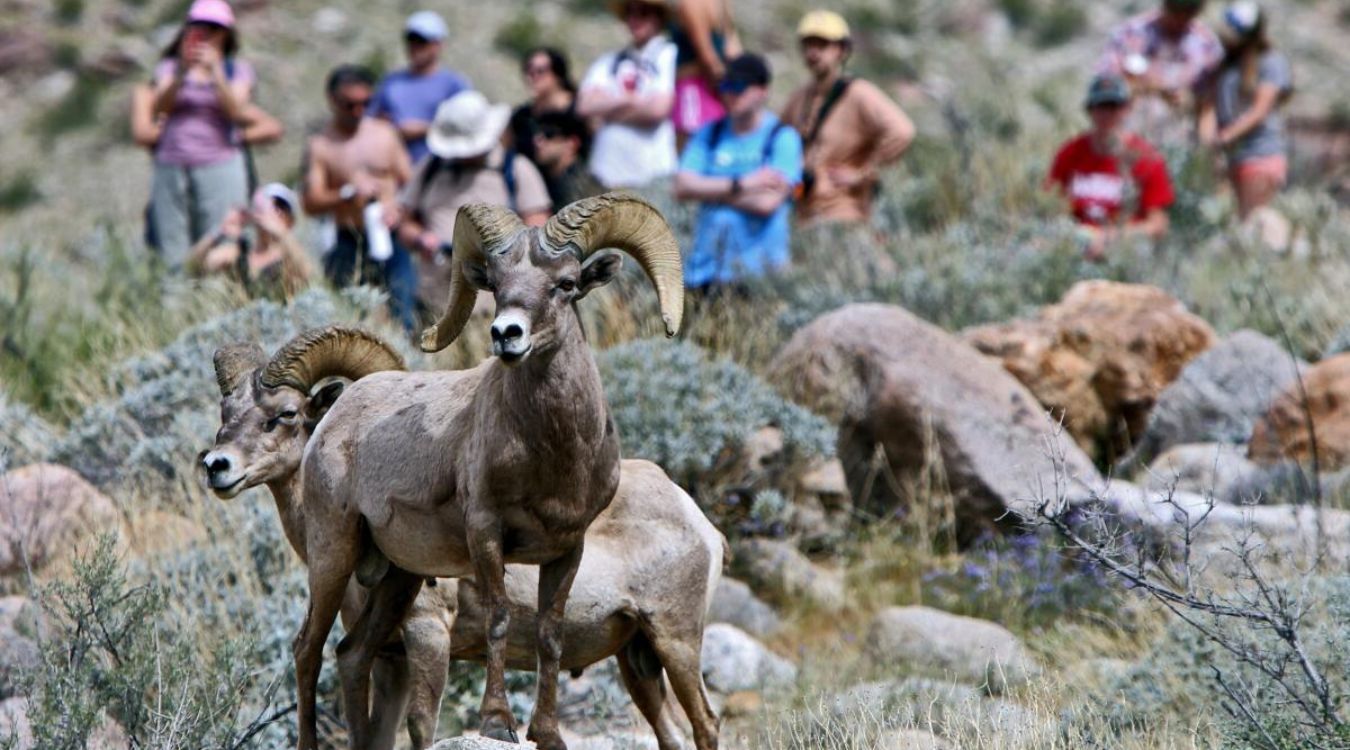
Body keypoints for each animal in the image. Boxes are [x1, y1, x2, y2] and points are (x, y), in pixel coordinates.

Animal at [203, 327, 723, 750]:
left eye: (286, 414)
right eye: (226, 412)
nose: (215, 466)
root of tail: (700, 523)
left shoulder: (428, 636)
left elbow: (420, 725)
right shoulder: (391, 661)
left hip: (675, 640)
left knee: (706, 723)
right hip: (637, 662)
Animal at [275, 194, 685, 750]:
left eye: (566, 283)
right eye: (495, 283)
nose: (505, 335)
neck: (552, 457)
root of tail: (336, 416)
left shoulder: (567, 548)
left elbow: (550, 635)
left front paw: (547, 733)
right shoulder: (486, 533)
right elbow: (499, 618)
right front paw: (498, 723)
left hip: (399, 579)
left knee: (352, 653)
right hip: (333, 554)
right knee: (307, 648)